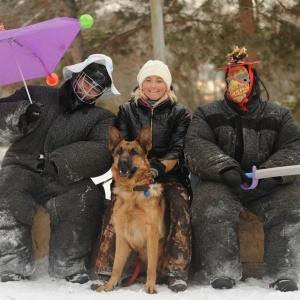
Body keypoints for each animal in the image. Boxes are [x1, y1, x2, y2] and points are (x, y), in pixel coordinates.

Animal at [96, 125, 165, 294]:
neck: (132, 192)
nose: (122, 162)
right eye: (119, 152)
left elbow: (151, 267)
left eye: (134, 152)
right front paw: (109, 285)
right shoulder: (121, 236)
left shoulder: (152, 235)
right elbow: (116, 266)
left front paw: (150, 286)